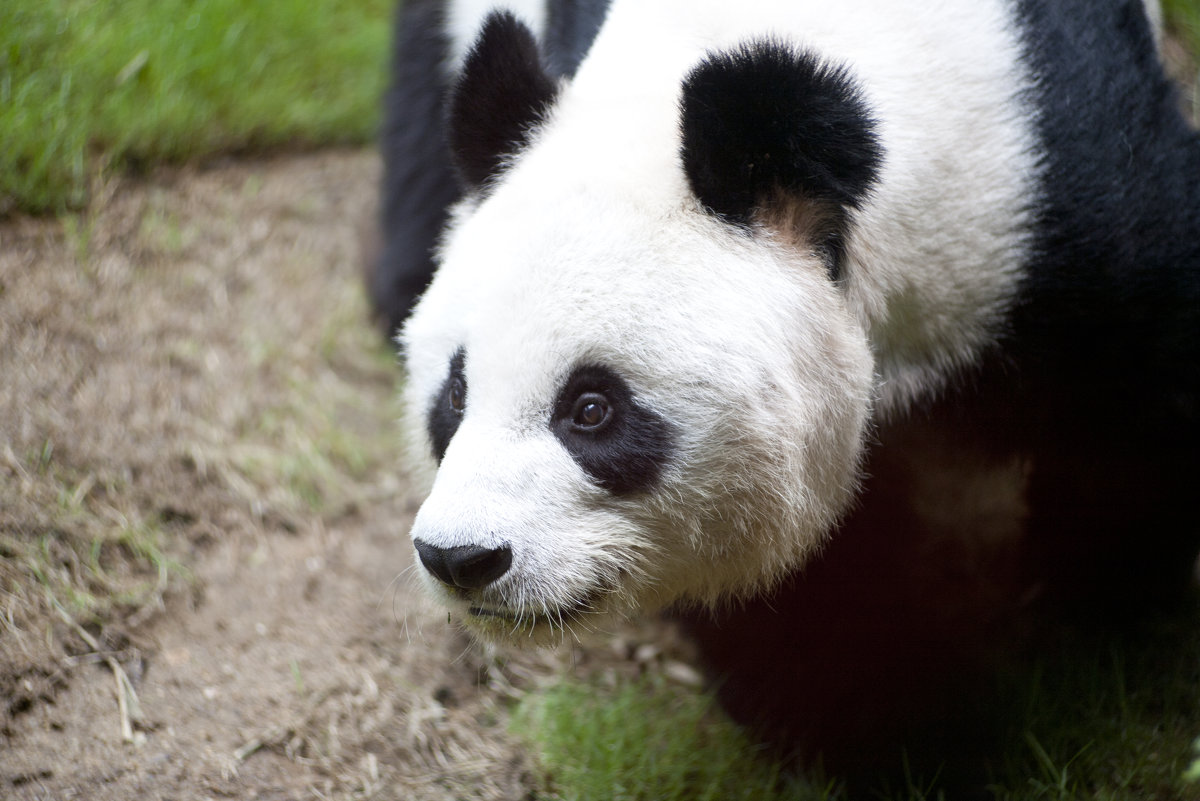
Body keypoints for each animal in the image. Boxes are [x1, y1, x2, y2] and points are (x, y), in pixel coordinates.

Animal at [379, 0, 1200, 777]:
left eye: (591, 409)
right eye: (455, 397)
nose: (462, 557)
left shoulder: (1053, 185)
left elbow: (1132, 423)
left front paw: (1099, 627)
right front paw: (881, 731)